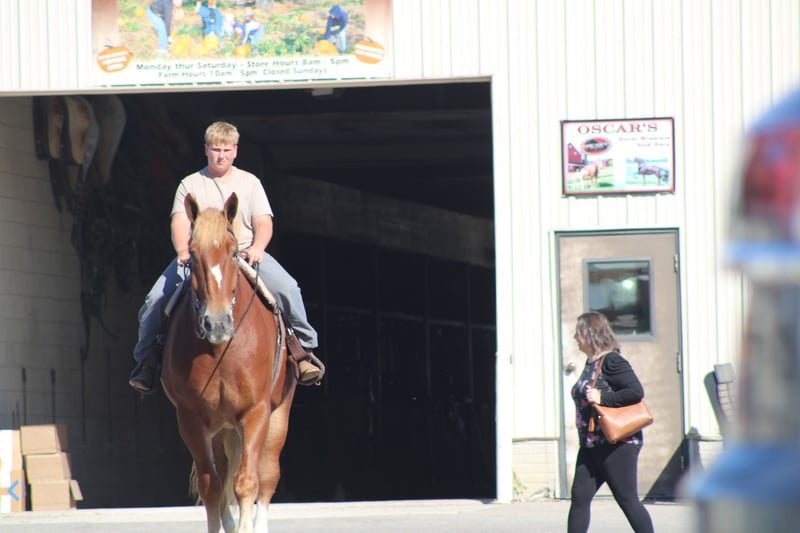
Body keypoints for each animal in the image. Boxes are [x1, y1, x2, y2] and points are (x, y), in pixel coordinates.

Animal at [161, 192, 296, 533]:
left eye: (235, 253)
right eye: (192, 257)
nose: (217, 323)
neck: (222, 350)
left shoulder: (256, 412)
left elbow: (248, 482)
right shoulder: (191, 418)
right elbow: (212, 486)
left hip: (278, 415)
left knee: (267, 475)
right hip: (221, 429)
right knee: (222, 479)